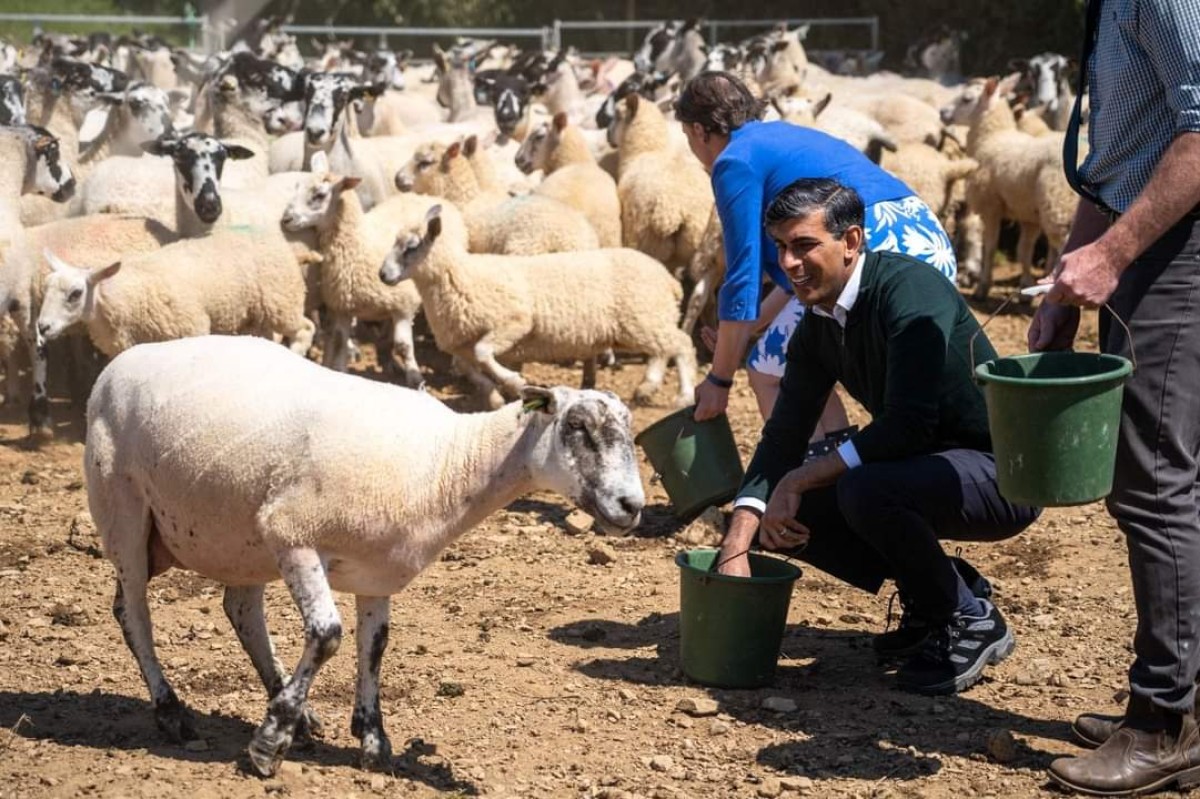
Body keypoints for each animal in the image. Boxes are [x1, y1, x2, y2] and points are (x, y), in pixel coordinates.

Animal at [39, 235, 314, 355]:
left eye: (76, 293)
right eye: (46, 287)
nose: (42, 327)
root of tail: (285, 245)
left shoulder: (193, 328)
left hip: (283, 304)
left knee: (306, 329)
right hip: (256, 317)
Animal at [84, 333, 648, 772]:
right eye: (577, 427)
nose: (632, 506)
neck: (447, 463)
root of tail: (122, 361)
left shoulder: (375, 572)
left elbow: (373, 647)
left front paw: (373, 742)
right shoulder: (293, 533)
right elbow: (327, 635)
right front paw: (268, 744)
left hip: (239, 536)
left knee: (241, 611)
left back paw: (295, 712)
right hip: (123, 510)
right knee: (133, 613)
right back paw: (172, 712)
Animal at [280, 167, 427, 383]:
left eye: (320, 195)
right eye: (297, 187)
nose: (286, 219)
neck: (359, 244)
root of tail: (422, 196)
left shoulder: (405, 305)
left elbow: (404, 346)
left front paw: (417, 382)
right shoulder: (343, 307)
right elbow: (340, 341)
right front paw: (341, 370)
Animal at [374, 200, 696, 405]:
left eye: (411, 247)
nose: (383, 275)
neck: (461, 276)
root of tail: (668, 279)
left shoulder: (514, 322)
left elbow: (483, 354)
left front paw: (514, 381)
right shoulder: (460, 345)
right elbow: (473, 368)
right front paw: (495, 396)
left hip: (643, 318)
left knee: (681, 345)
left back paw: (684, 394)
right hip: (647, 320)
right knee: (664, 350)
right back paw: (647, 388)